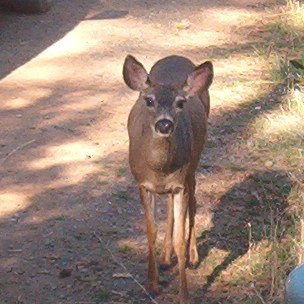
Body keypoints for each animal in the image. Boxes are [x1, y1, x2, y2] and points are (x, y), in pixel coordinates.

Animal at [122, 55, 213, 304]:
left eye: (180, 103)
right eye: (149, 100)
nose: (164, 124)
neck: (160, 169)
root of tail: (176, 57)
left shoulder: (180, 182)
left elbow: (180, 237)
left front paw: (184, 294)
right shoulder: (143, 184)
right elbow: (151, 231)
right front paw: (152, 284)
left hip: (193, 166)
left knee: (193, 203)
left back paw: (192, 256)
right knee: (172, 208)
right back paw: (164, 257)